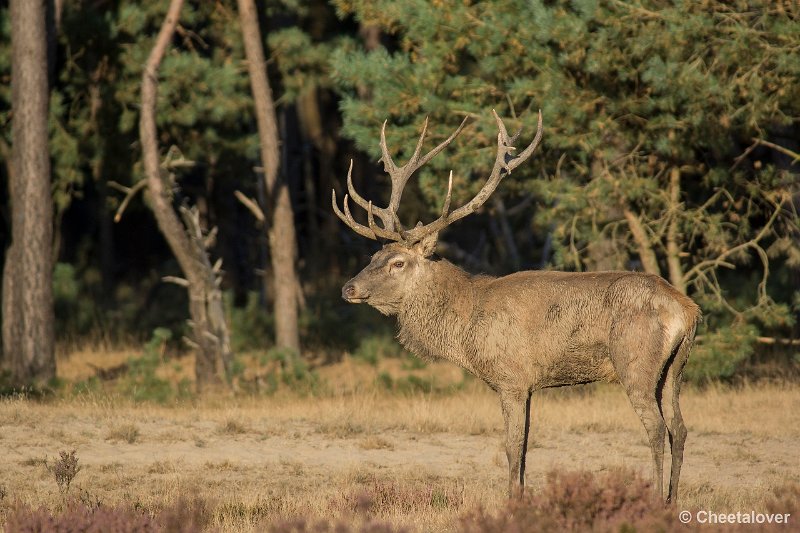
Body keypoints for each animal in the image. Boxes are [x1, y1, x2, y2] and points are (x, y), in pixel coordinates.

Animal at [332, 109, 700, 502]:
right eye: (373, 256)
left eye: (398, 263)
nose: (348, 288)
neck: (466, 327)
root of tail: (687, 309)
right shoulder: (529, 385)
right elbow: (524, 447)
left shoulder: (510, 378)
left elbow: (512, 446)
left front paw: (512, 500)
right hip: (674, 368)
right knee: (680, 428)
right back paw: (672, 499)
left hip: (635, 360)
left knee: (657, 429)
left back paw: (654, 499)